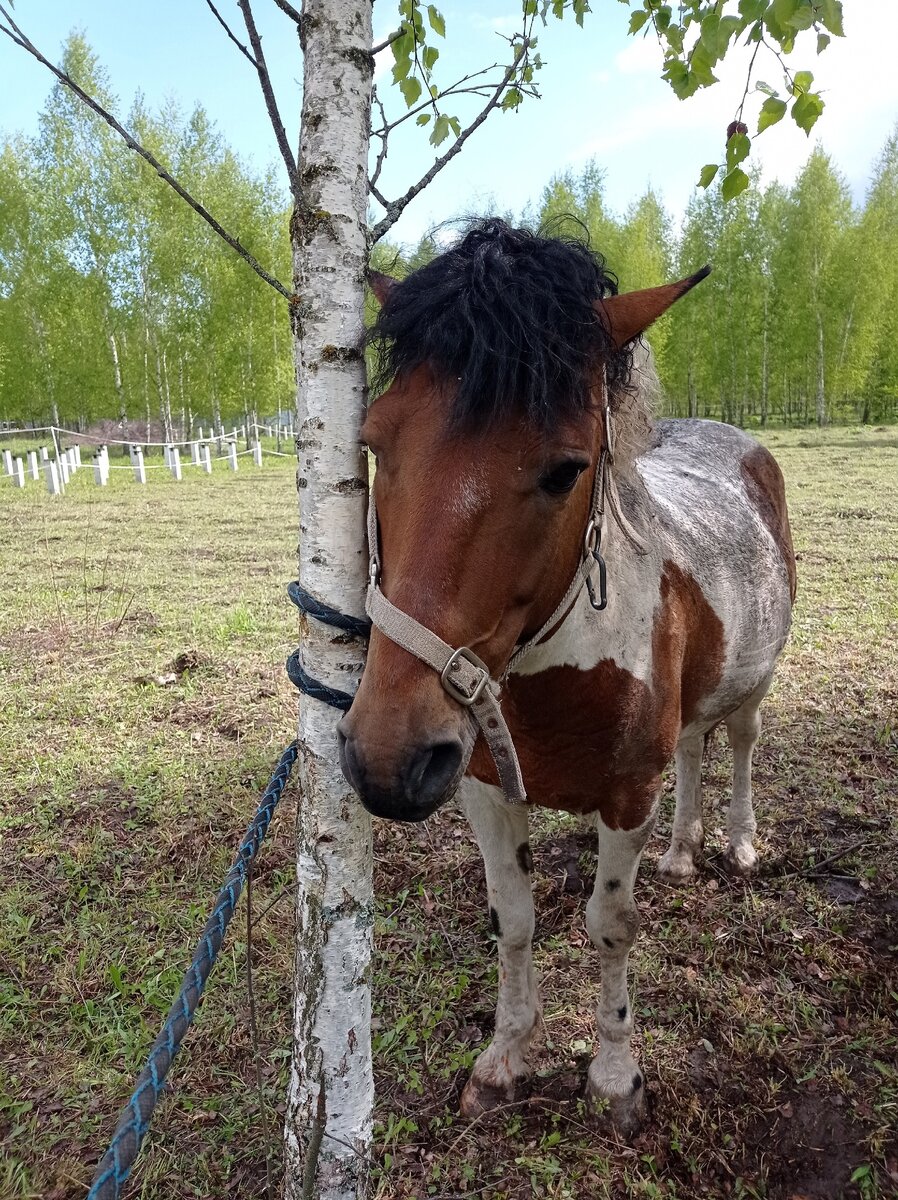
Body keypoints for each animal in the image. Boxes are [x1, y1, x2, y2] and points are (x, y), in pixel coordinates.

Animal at [336, 218, 792, 1132]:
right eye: (373, 443)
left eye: (564, 469)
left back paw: (737, 842)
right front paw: (508, 1057)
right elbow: (513, 920)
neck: (553, 668)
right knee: (692, 749)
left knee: (738, 746)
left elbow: (610, 926)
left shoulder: (626, 796)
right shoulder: (480, 786)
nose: (387, 759)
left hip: (753, 688)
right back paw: (682, 851)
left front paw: (615, 1075)